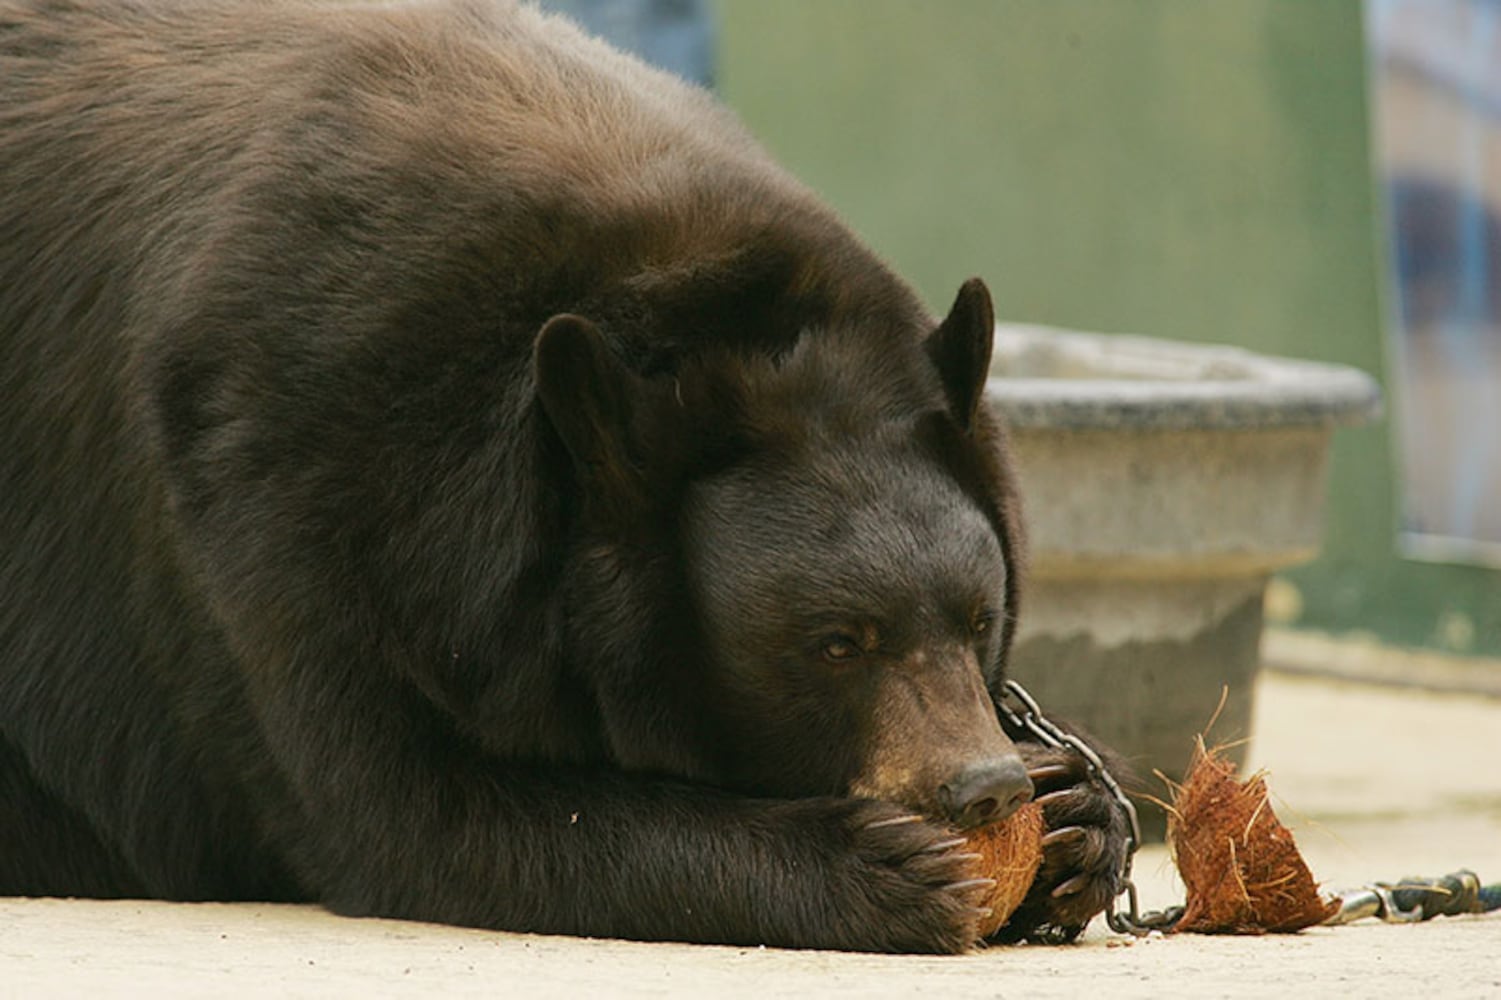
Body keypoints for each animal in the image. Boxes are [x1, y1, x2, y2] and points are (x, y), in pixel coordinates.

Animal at [0, 0, 1128, 948]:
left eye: (977, 618)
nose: (980, 788)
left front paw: (1077, 815)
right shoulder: (277, 481)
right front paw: (883, 870)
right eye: (836, 643)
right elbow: (405, 808)